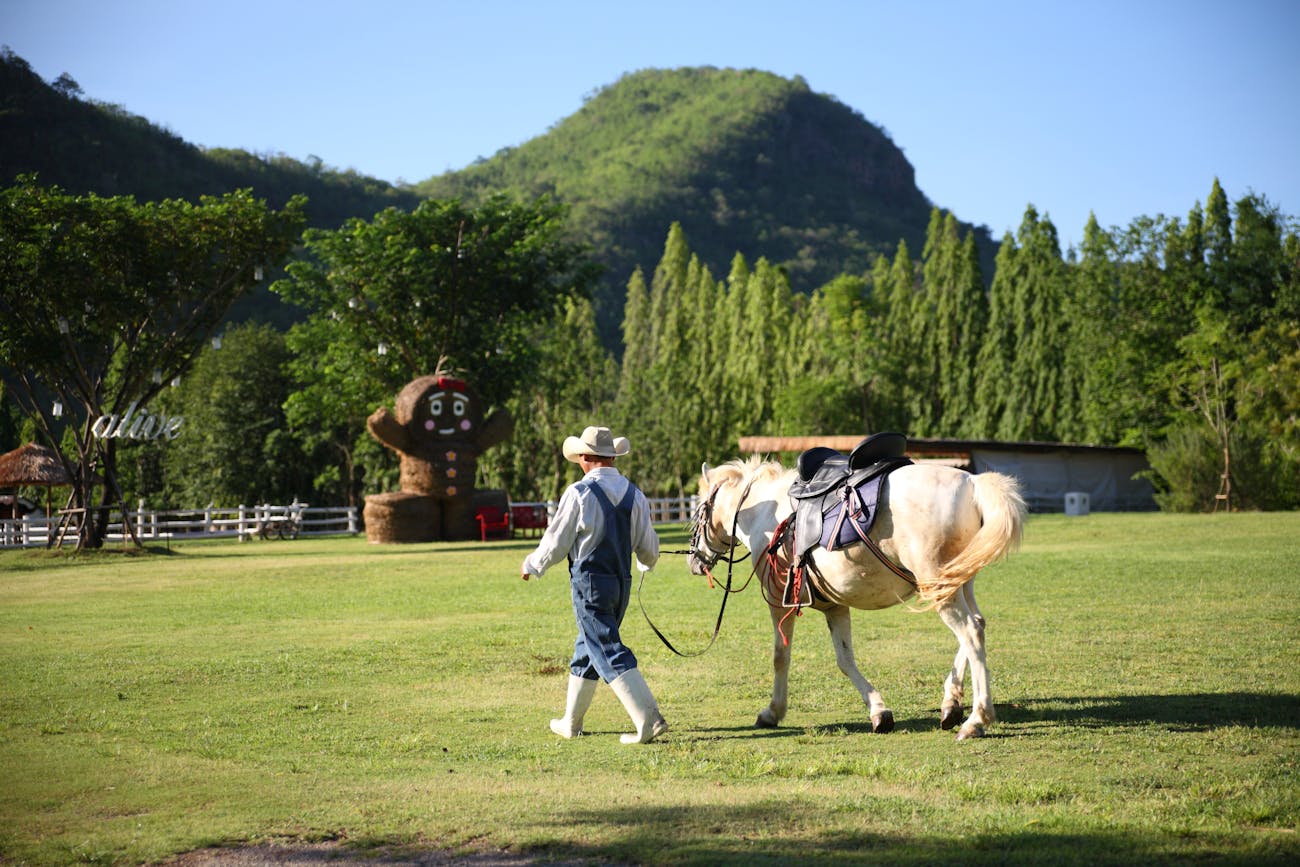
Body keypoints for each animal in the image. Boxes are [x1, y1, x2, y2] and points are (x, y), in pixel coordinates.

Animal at [691, 454, 1024, 738]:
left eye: (696, 513)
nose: (694, 560)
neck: (766, 514)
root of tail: (972, 482)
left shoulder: (777, 601)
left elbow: (780, 657)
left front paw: (773, 712)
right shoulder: (835, 606)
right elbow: (845, 659)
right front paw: (879, 711)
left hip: (938, 585)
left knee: (970, 633)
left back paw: (976, 720)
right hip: (957, 581)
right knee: (977, 625)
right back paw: (951, 704)